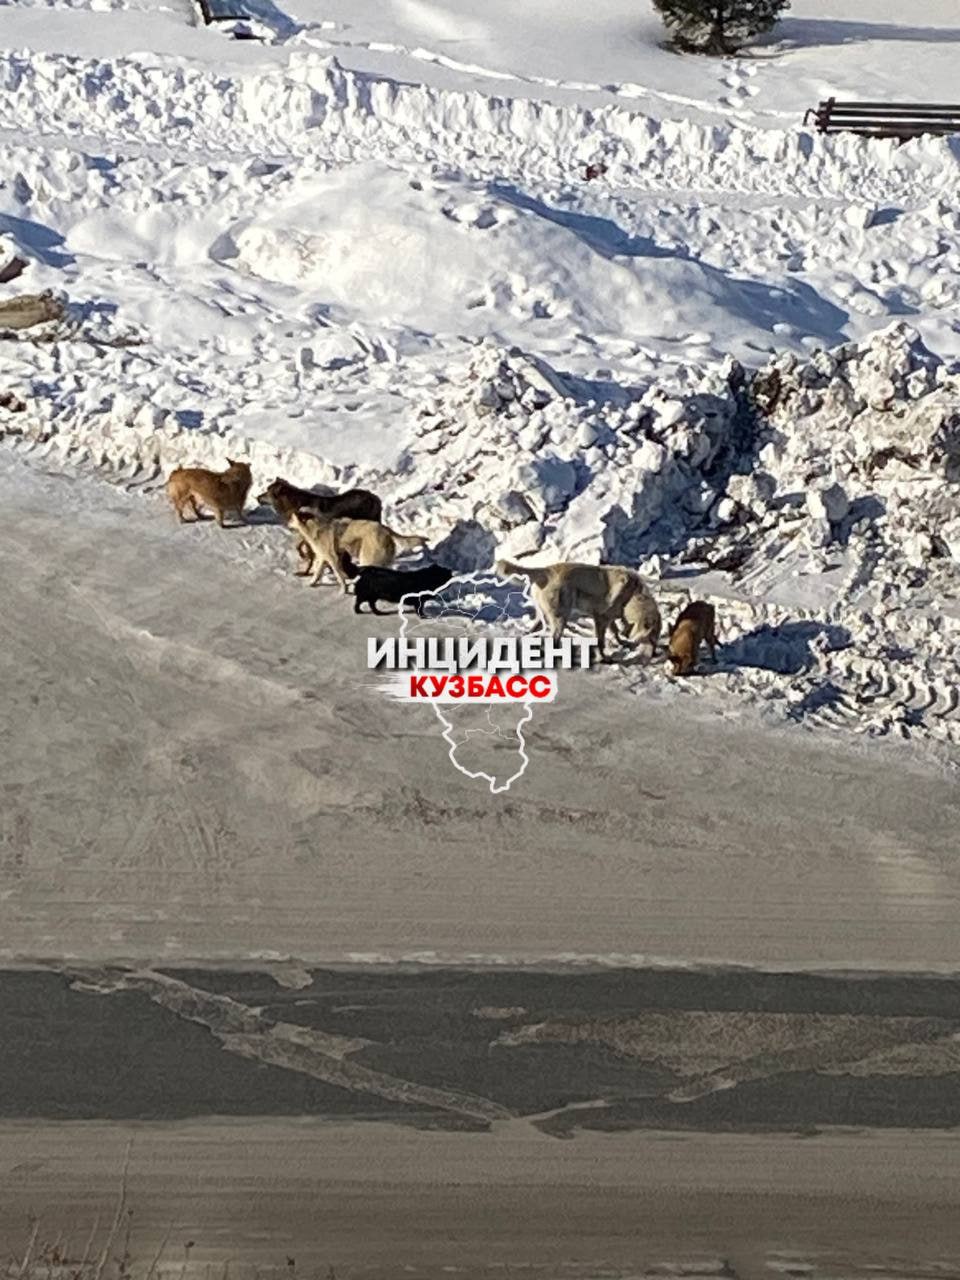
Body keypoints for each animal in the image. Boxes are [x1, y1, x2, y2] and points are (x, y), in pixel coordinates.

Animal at [285, 509, 427, 588]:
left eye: (291, 519)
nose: (286, 524)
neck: (315, 527)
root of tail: (385, 529)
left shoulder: (332, 558)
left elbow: (339, 576)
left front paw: (344, 589)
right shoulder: (324, 558)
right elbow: (318, 572)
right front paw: (312, 583)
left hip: (367, 559)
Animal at [499, 558, 650, 660]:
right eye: (634, 587)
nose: (644, 595)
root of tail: (546, 570)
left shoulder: (607, 617)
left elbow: (615, 631)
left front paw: (622, 642)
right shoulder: (601, 618)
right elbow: (600, 640)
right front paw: (603, 657)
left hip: (546, 615)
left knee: (534, 630)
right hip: (561, 615)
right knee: (554, 638)